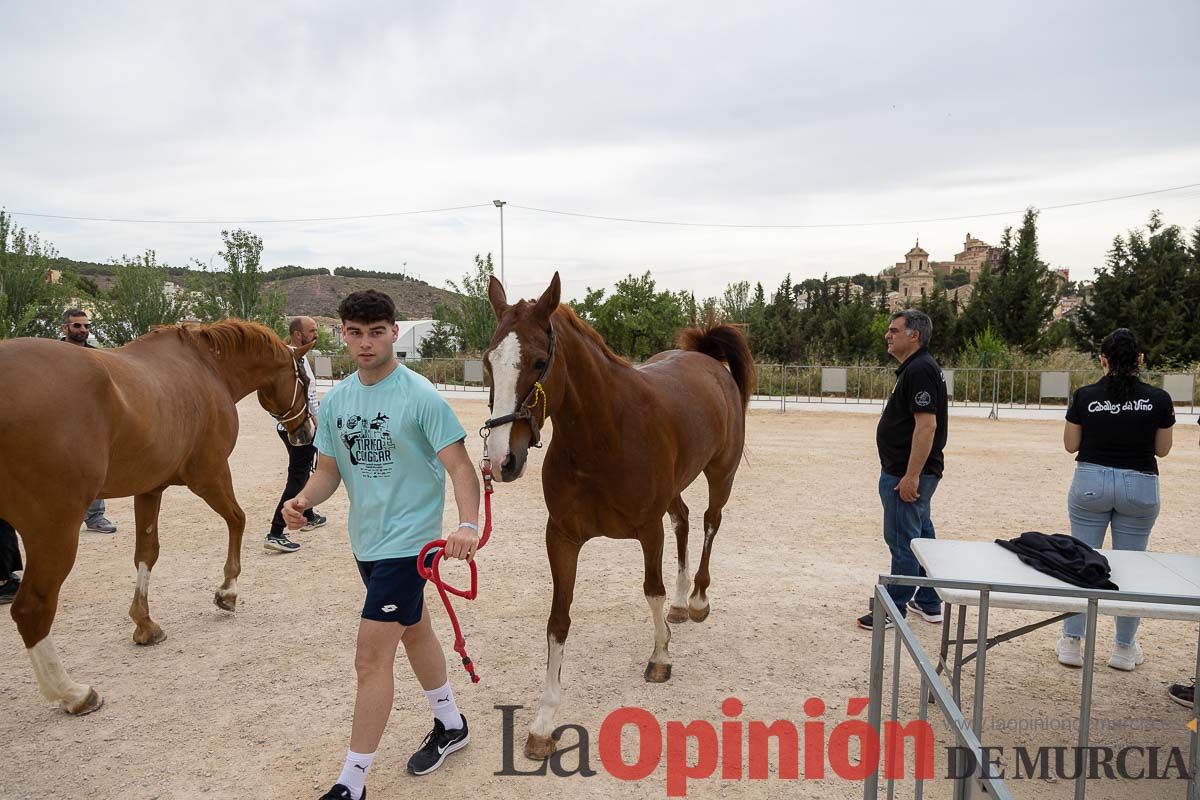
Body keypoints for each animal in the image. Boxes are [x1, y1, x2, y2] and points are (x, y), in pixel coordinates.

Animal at [0, 321, 314, 714]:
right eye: (304, 379)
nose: (306, 432)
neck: (207, 367)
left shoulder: (150, 489)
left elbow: (147, 553)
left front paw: (145, 623)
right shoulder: (210, 475)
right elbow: (238, 520)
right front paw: (227, 591)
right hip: (54, 527)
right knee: (32, 608)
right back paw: (72, 692)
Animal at [484, 273, 748, 758]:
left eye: (538, 361)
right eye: (488, 362)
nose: (501, 460)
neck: (601, 436)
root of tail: (706, 361)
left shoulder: (648, 531)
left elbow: (651, 591)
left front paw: (660, 658)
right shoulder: (561, 538)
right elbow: (558, 621)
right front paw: (545, 720)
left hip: (722, 474)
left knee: (709, 523)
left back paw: (697, 599)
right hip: (676, 492)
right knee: (684, 520)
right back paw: (682, 604)